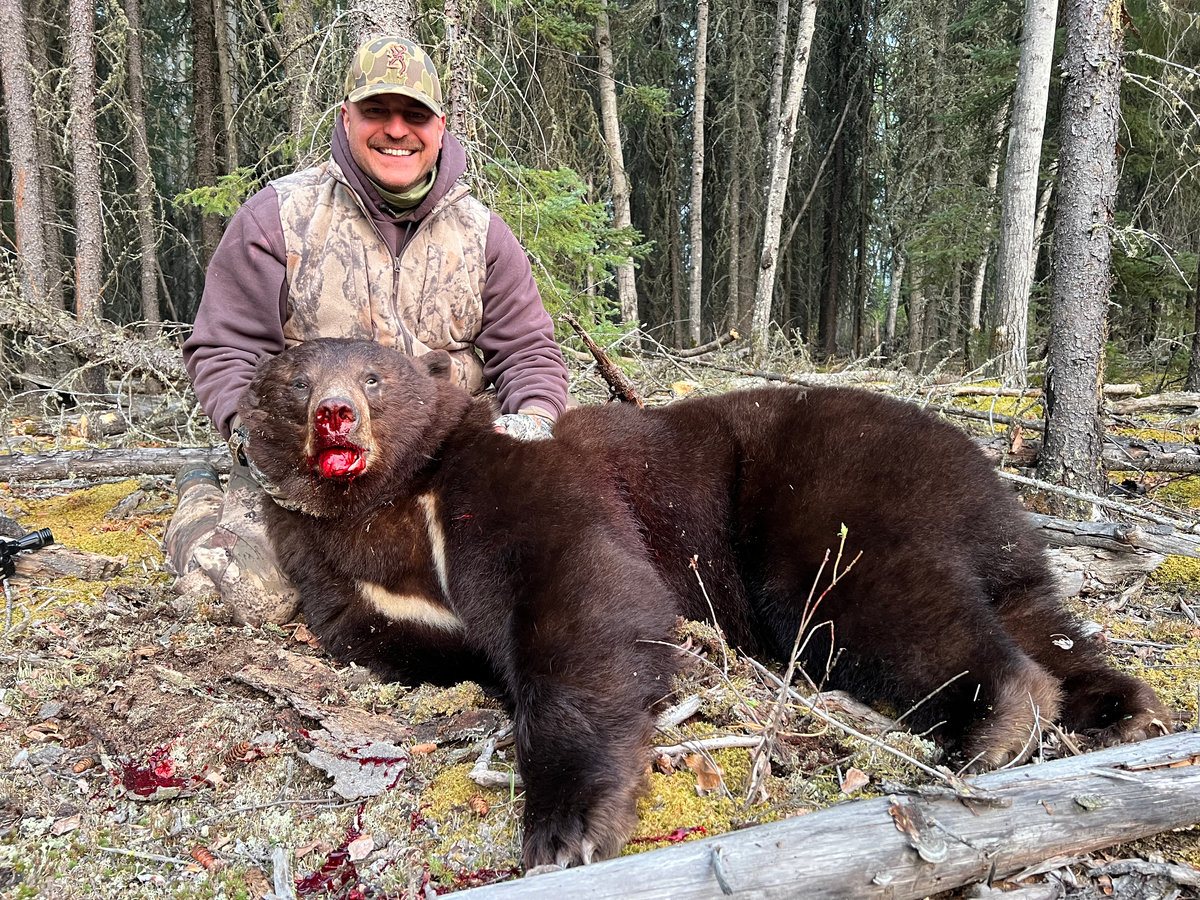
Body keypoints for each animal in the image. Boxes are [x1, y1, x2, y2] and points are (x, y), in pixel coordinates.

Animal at [238, 337, 1170, 869]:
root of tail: (978, 460)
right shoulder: (337, 573)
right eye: (294, 383)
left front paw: (565, 824)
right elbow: (384, 635)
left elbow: (585, 593)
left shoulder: (509, 478)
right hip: (995, 540)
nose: (335, 415)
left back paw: (996, 724)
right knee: (1039, 614)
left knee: (876, 604)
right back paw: (1121, 710)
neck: (393, 509)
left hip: (826, 499)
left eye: (373, 376)